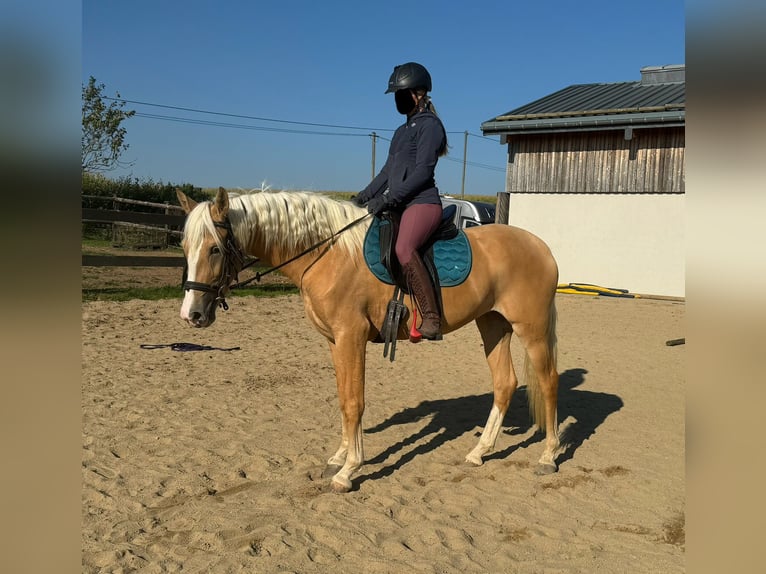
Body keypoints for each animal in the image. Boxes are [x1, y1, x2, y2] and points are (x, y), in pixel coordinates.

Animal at [180, 189, 564, 496]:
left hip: (531, 329)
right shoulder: (334, 341)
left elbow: (354, 402)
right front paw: (339, 457)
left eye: (214, 249)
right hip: (493, 324)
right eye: (185, 247)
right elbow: (342, 399)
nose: (191, 314)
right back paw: (479, 453)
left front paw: (349, 470)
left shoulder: (351, 338)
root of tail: (541, 246)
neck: (327, 253)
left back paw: (548, 456)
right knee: (505, 383)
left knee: (548, 382)